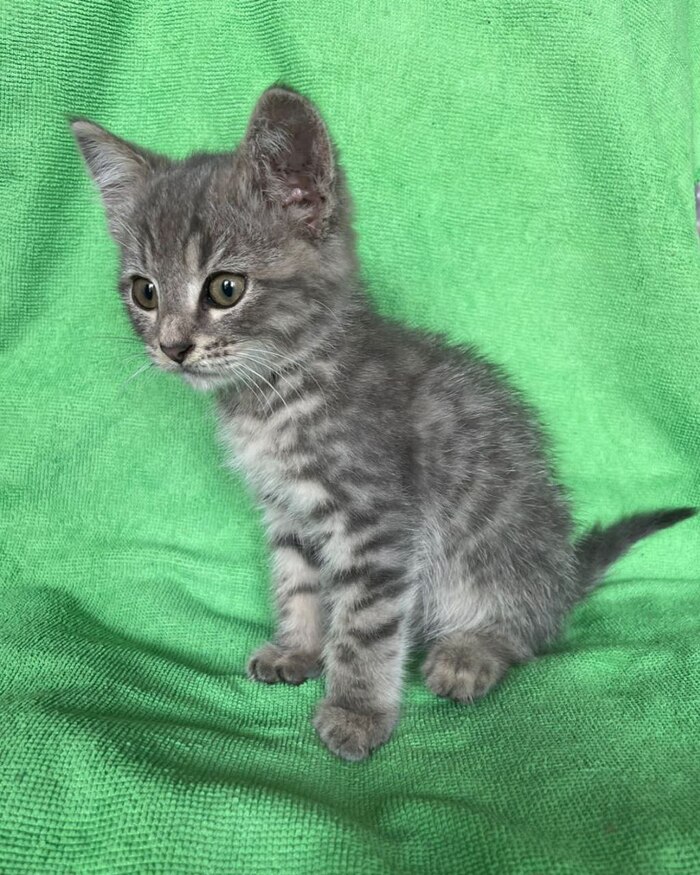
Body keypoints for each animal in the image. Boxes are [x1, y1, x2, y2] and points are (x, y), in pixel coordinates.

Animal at [72, 86, 695, 761]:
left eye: (225, 288)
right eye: (145, 292)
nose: (172, 347)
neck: (276, 396)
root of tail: (563, 569)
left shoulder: (375, 522)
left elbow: (365, 627)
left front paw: (356, 711)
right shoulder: (287, 511)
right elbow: (297, 583)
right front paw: (298, 648)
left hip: (503, 547)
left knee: (531, 628)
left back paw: (472, 650)